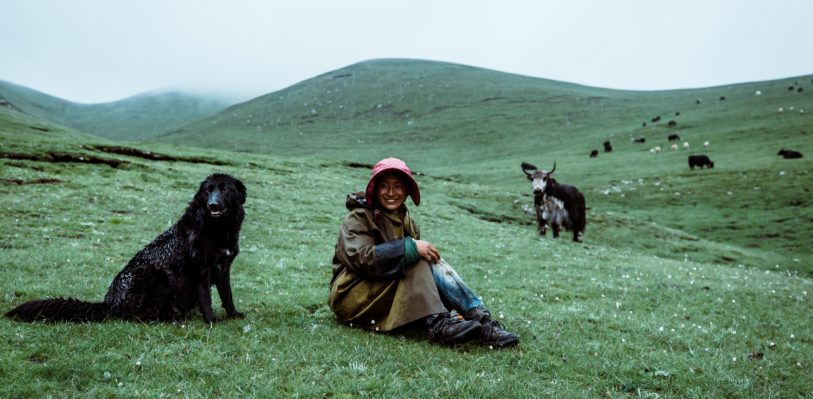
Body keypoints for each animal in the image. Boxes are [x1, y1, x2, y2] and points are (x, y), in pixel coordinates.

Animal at [6, 173, 246, 324]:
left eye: (225, 190)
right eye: (207, 191)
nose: (212, 204)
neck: (216, 229)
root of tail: (108, 304)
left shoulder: (223, 268)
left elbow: (228, 295)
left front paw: (233, 314)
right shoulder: (200, 271)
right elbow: (206, 298)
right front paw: (212, 320)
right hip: (156, 273)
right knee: (139, 316)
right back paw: (169, 319)